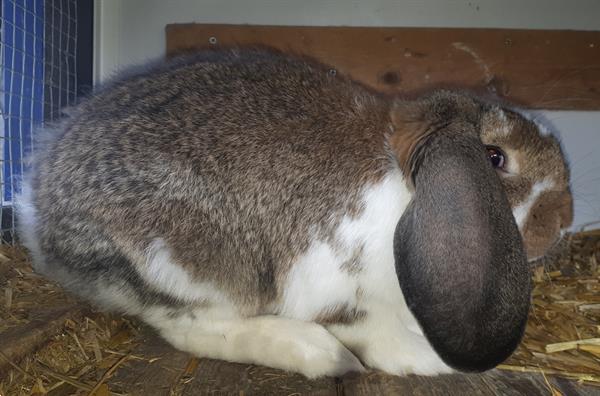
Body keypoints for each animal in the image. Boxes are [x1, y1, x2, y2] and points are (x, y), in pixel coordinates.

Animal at [17, 48, 572, 378]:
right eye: (495, 158)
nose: (563, 222)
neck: (403, 186)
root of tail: (41, 221)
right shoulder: (337, 285)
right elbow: (376, 334)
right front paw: (429, 360)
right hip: (185, 265)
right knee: (187, 327)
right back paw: (318, 354)